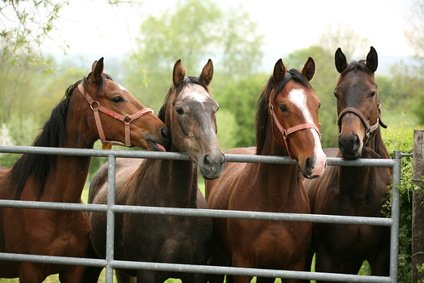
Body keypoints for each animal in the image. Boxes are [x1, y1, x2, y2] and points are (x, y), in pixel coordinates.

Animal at [87, 58, 225, 282]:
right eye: (180, 109)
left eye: (216, 108)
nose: (213, 161)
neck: (176, 212)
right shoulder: (147, 272)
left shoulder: (195, 272)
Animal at [207, 58, 326, 283]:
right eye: (283, 107)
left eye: (317, 104)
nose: (317, 162)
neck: (275, 203)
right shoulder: (242, 266)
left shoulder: (292, 268)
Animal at [304, 47, 390, 282]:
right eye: (337, 93)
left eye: (372, 92)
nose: (349, 142)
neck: (358, 195)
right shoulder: (327, 258)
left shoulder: (380, 259)